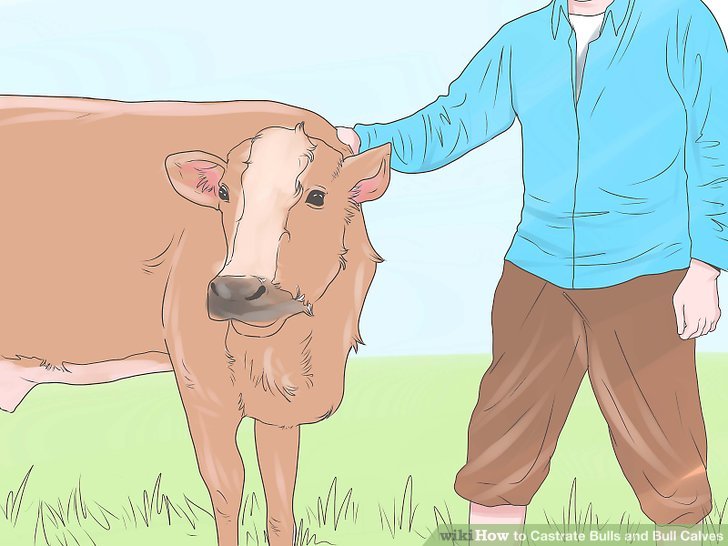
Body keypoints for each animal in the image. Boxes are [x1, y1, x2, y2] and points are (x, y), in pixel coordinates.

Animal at [0, 96, 391, 546]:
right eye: (223, 192)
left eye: (316, 196)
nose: (236, 291)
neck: (291, 349)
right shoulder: (204, 384)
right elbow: (228, 486)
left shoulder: (280, 407)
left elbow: (280, 502)